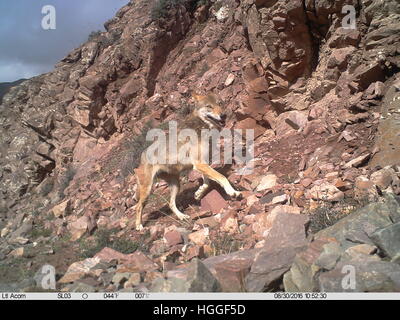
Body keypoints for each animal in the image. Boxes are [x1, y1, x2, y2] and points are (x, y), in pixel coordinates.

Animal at [134, 92, 241, 230]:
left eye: (219, 104)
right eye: (209, 106)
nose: (223, 115)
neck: (202, 126)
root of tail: (141, 156)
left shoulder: (203, 163)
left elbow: (207, 182)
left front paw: (199, 193)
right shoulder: (199, 163)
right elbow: (222, 177)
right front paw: (232, 192)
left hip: (176, 185)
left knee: (171, 204)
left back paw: (182, 217)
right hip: (147, 191)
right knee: (138, 206)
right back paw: (139, 226)